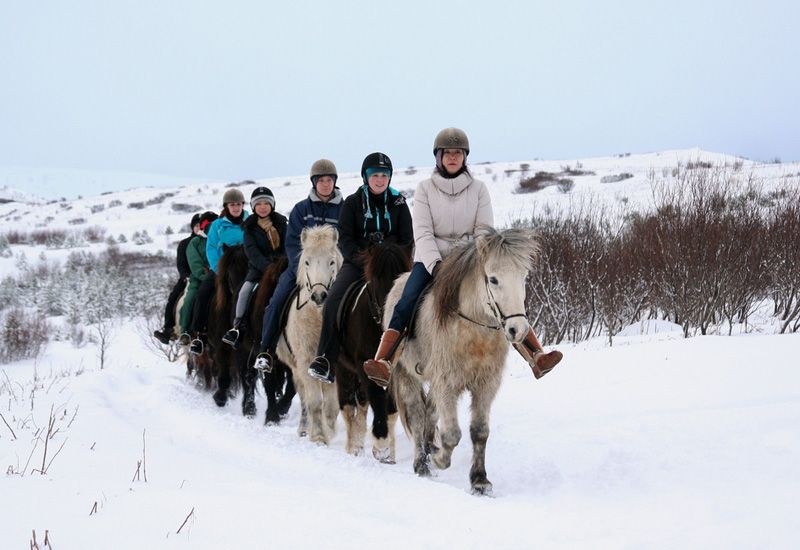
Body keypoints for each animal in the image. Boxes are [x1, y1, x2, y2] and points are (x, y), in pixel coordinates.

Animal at [276, 226, 342, 446]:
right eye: (307, 261)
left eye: (331, 261)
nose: (319, 296)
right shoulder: (305, 361)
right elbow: (314, 402)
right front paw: (319, 436)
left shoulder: (333, 364)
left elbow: (331, 405)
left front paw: (330, 432)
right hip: (296, 367)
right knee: (304, 396)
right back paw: (305, 428)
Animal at [336, 244, 412, 464]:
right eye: (376, 277)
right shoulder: (366, 366)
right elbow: (378, 401)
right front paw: (381, 445)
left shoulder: (392, 371)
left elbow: (391, 409)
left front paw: (389, 455)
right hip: (342, 368)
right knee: (347, 407)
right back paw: (352, 447)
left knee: (361, 405)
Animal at [386, 226, 540, 498]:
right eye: (493, 279)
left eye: (523, 277)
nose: (517, 330)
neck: (474, 330)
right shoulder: (447, 383)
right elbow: (451, 435)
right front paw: (438, 458)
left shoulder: (486, 385)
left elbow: (479, 432)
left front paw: (480, 481)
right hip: (406, 375)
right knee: (417, 415)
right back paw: (421, 463)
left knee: (430, 412)